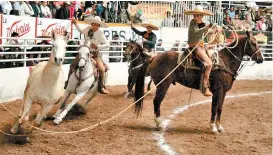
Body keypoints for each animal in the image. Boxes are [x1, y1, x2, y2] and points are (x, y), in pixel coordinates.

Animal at [133, 30, 262, 133]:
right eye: (254, 43)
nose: (261, 59)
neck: (225, 61)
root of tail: (154, 57)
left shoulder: (223, 92)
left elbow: (220, 108)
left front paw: (219, 127)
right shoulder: (218, 91)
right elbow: (214, 108)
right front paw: (213, 127)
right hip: (163, 85)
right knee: (157, 102)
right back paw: (159, 124)